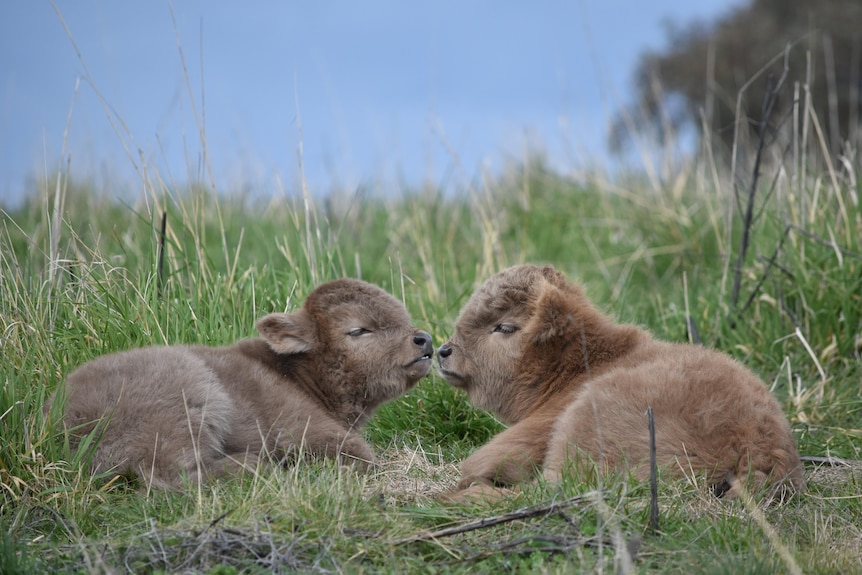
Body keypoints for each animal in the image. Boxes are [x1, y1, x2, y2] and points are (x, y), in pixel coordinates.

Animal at [47, 282, 436, 488]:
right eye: (359, 330)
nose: (424, 340)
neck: (299, 376)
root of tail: (59, 419)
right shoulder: (309, 431)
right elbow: (363, 457)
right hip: (189, 397)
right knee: (171, 474)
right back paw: (256, 464)